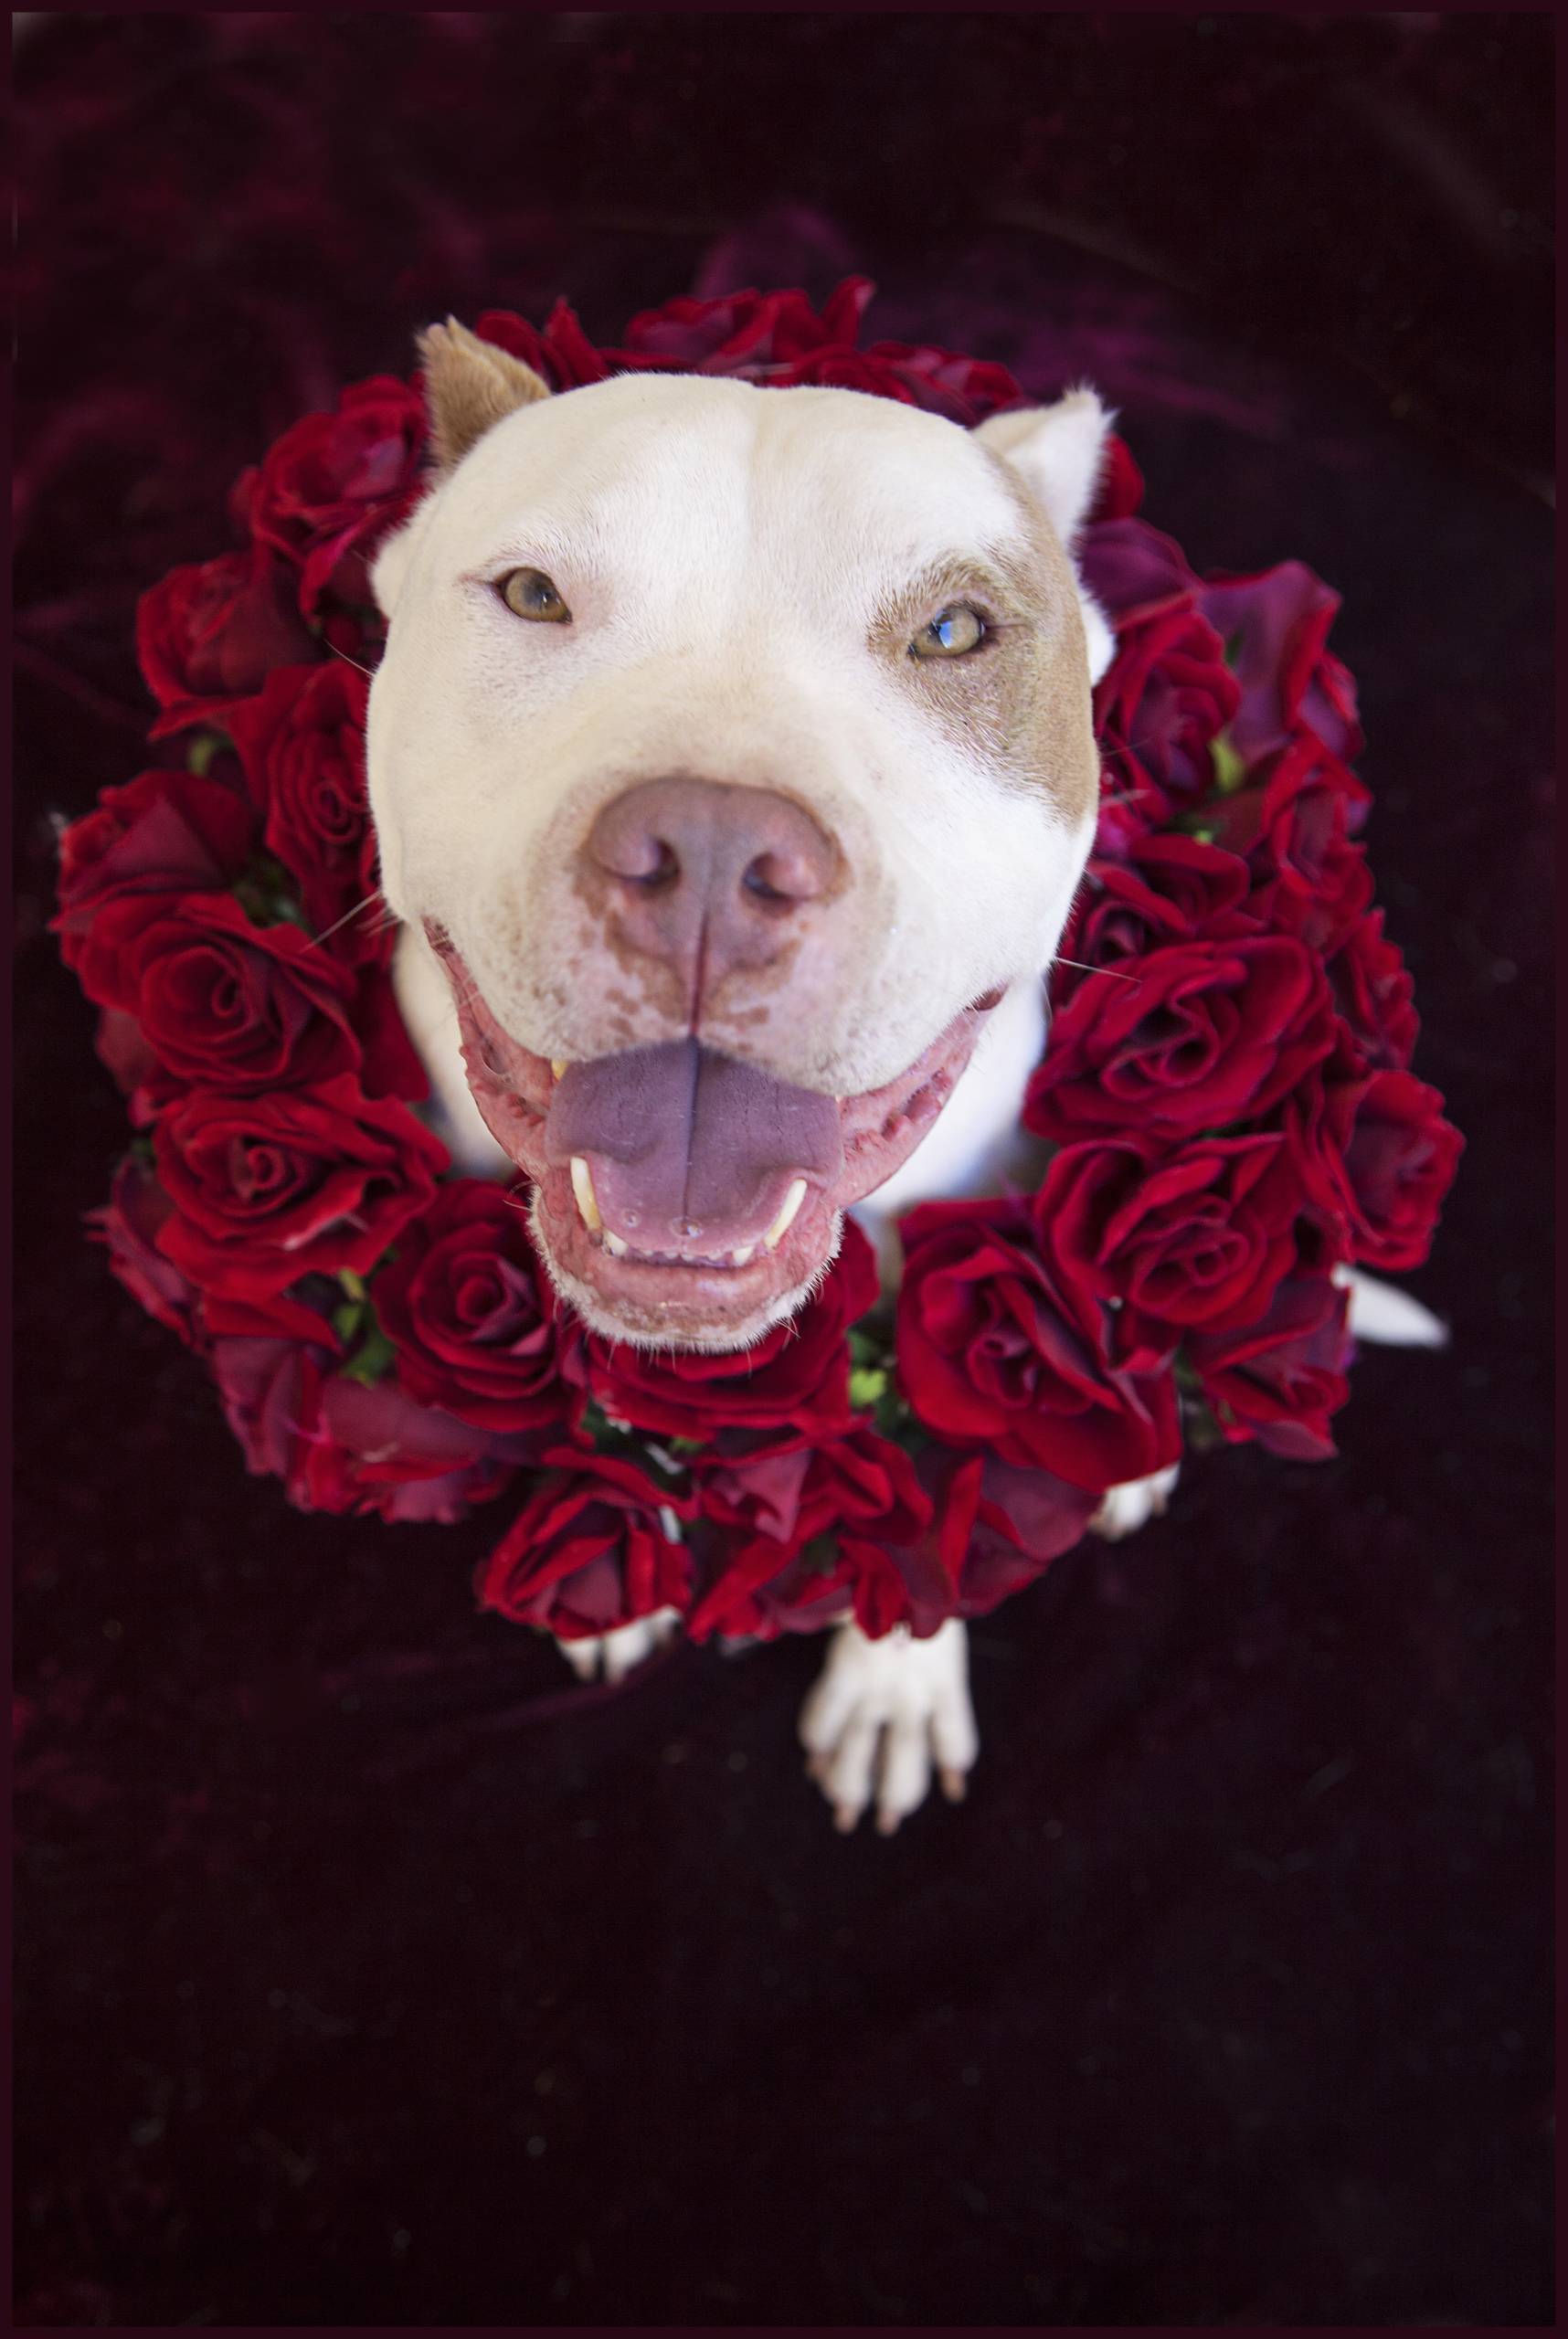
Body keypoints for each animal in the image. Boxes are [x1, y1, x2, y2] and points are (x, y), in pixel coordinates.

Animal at [365, 320, 1441, 1834]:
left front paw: (894, 1675)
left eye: (954, 631)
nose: (710, 850)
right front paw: (607, 1560)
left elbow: (938, 1470)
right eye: (531, 594)